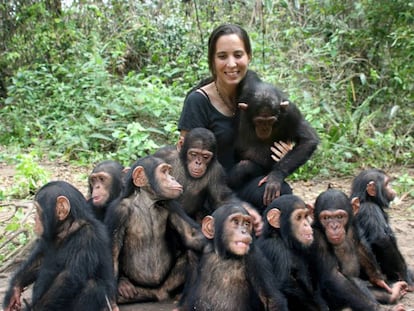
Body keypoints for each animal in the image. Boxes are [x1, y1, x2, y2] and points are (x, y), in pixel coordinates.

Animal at [2, 180, 116, 311]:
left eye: (37, 209)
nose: (34, 219)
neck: (66, 228)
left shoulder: (87, 236)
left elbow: (68, 276)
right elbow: (39, 258)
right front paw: (14, 291)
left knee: (93, 287)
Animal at [103, 156, 207, 304]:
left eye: (169, 171)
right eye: (164, 171)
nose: (172, 178)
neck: (147, 202)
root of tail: (158, 295)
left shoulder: (171, 204)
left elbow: (190, 235)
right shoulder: (117, 212)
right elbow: (113, 252)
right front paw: (112, 302)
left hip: (166, 286)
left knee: (191, 253)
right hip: (141, 291)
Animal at [228, 70, 318, 211]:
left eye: (270, 121)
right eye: (259, 121)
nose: (264, 128)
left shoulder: (292, 113)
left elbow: (308, 140)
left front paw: (275, 177)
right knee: (244, 167)